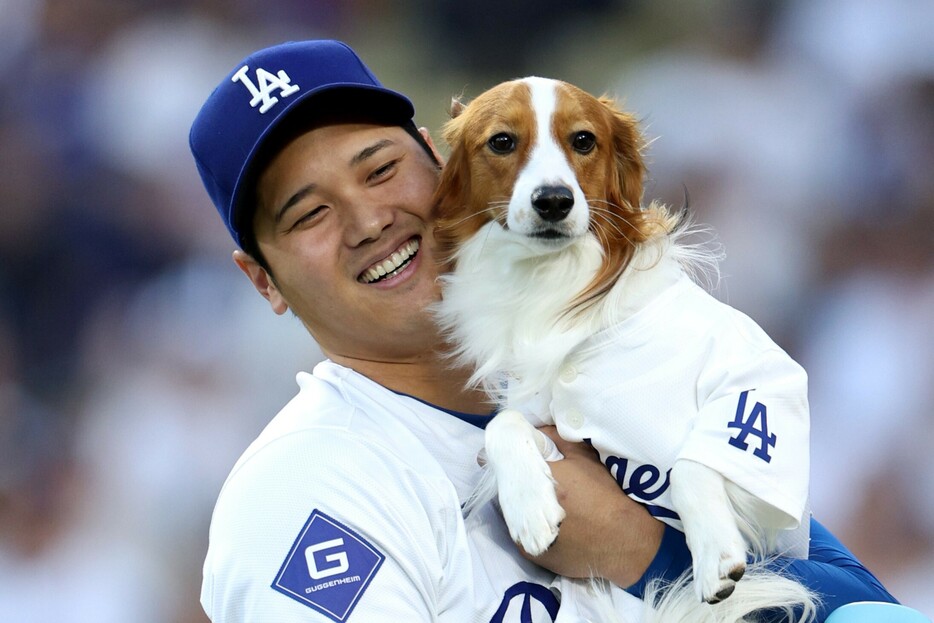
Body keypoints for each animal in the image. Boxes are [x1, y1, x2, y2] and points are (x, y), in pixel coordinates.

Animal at [436, 79, 816, 623]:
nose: (554, 200)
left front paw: (715, 556)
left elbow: (692, 464)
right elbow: (502, 425)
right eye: (502, 141)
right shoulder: (542, 415)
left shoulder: (761, 385)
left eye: (583, 140)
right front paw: (530, 505)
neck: (560, 288)